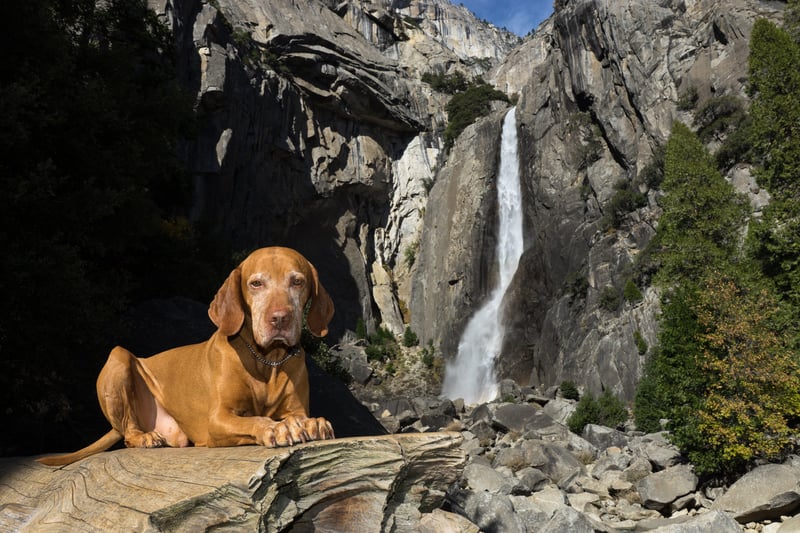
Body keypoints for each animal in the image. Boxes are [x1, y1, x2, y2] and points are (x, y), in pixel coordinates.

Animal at [38, 246, 334, 466]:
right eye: (256, 283)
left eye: (297, 281)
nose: (280, 318)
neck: (267, 361)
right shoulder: (217, 419)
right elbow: (254, 419)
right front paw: (275, 428)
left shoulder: (295, 408)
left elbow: (299, 417)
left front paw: (312, 424)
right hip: (118, 357)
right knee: (128, 433)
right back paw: (144, 437)